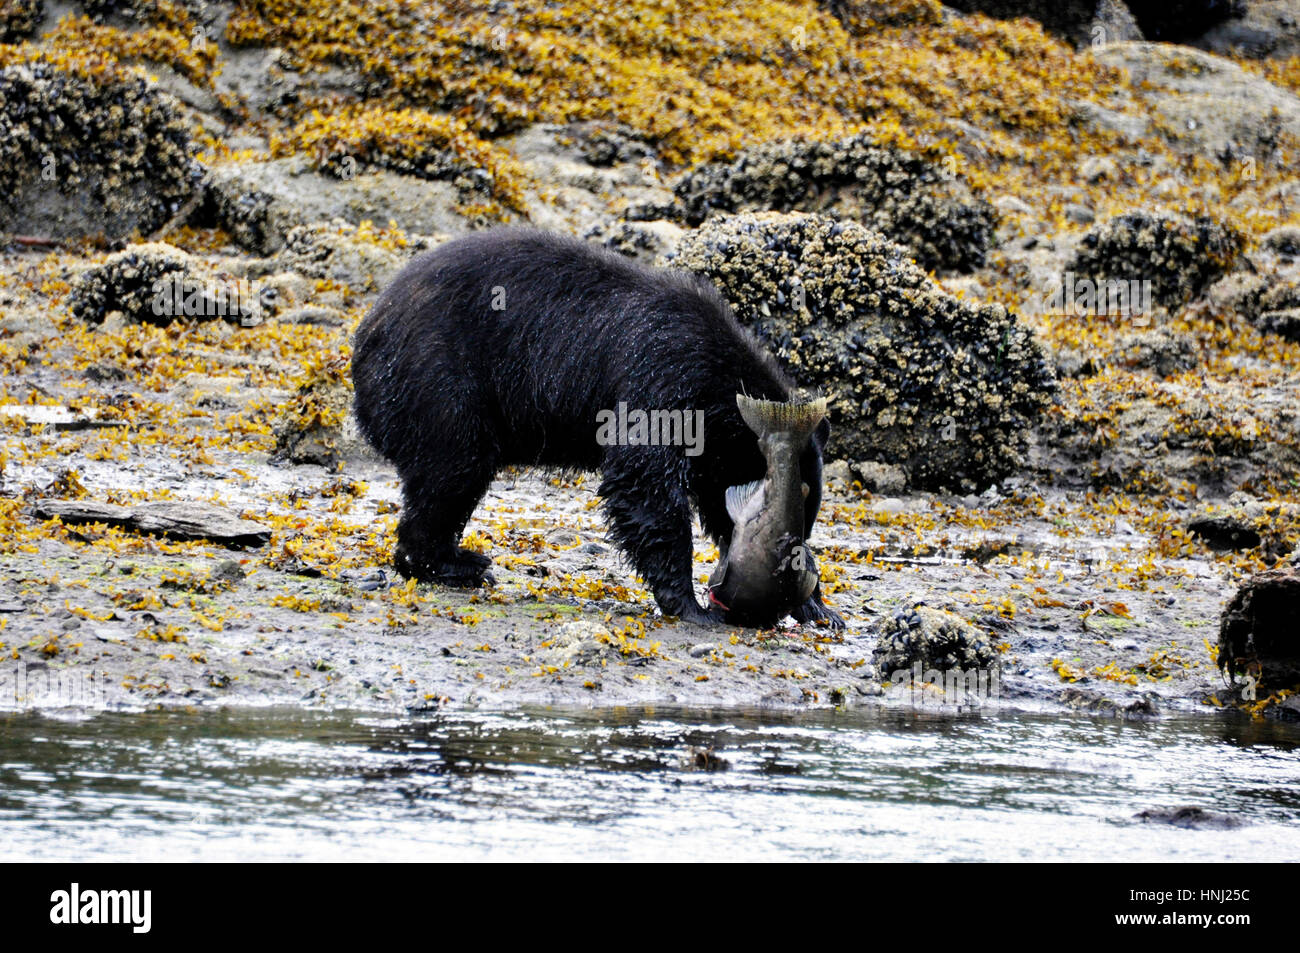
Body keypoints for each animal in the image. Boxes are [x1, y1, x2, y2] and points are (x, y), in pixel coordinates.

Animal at [351, 227, 842, 628]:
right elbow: (644, 483)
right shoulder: (659, 377)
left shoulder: (715, 456)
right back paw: (455, 564)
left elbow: (719, 506)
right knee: (453, 469)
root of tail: (367, 330)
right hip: (439, 381)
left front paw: (819, 607)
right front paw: (690, 605)